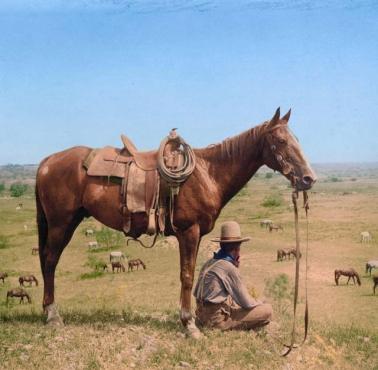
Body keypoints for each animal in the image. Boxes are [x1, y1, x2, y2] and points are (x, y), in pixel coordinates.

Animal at [34, 107, 316, 332]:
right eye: (281, 140)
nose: (308, 178)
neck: (207, 173)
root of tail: (47, 162)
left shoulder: (197, 234)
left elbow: (192, 273)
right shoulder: (188, 231)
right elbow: (187, 275)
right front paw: (189, 324)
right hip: (61, 224)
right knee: (50, 261)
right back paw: (52, 315)